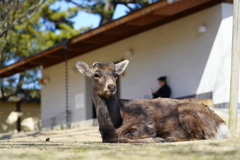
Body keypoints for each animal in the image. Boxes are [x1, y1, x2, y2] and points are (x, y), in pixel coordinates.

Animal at [76, 59, 228, 142]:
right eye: (96, 74)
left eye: (115, 74)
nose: (111, 86)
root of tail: (223, 126)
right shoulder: (105, 137)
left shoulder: (144, 124)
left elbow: (123, 137)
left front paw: (154, 138)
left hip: (185, 110)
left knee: (200, 136)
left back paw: (170, 138)